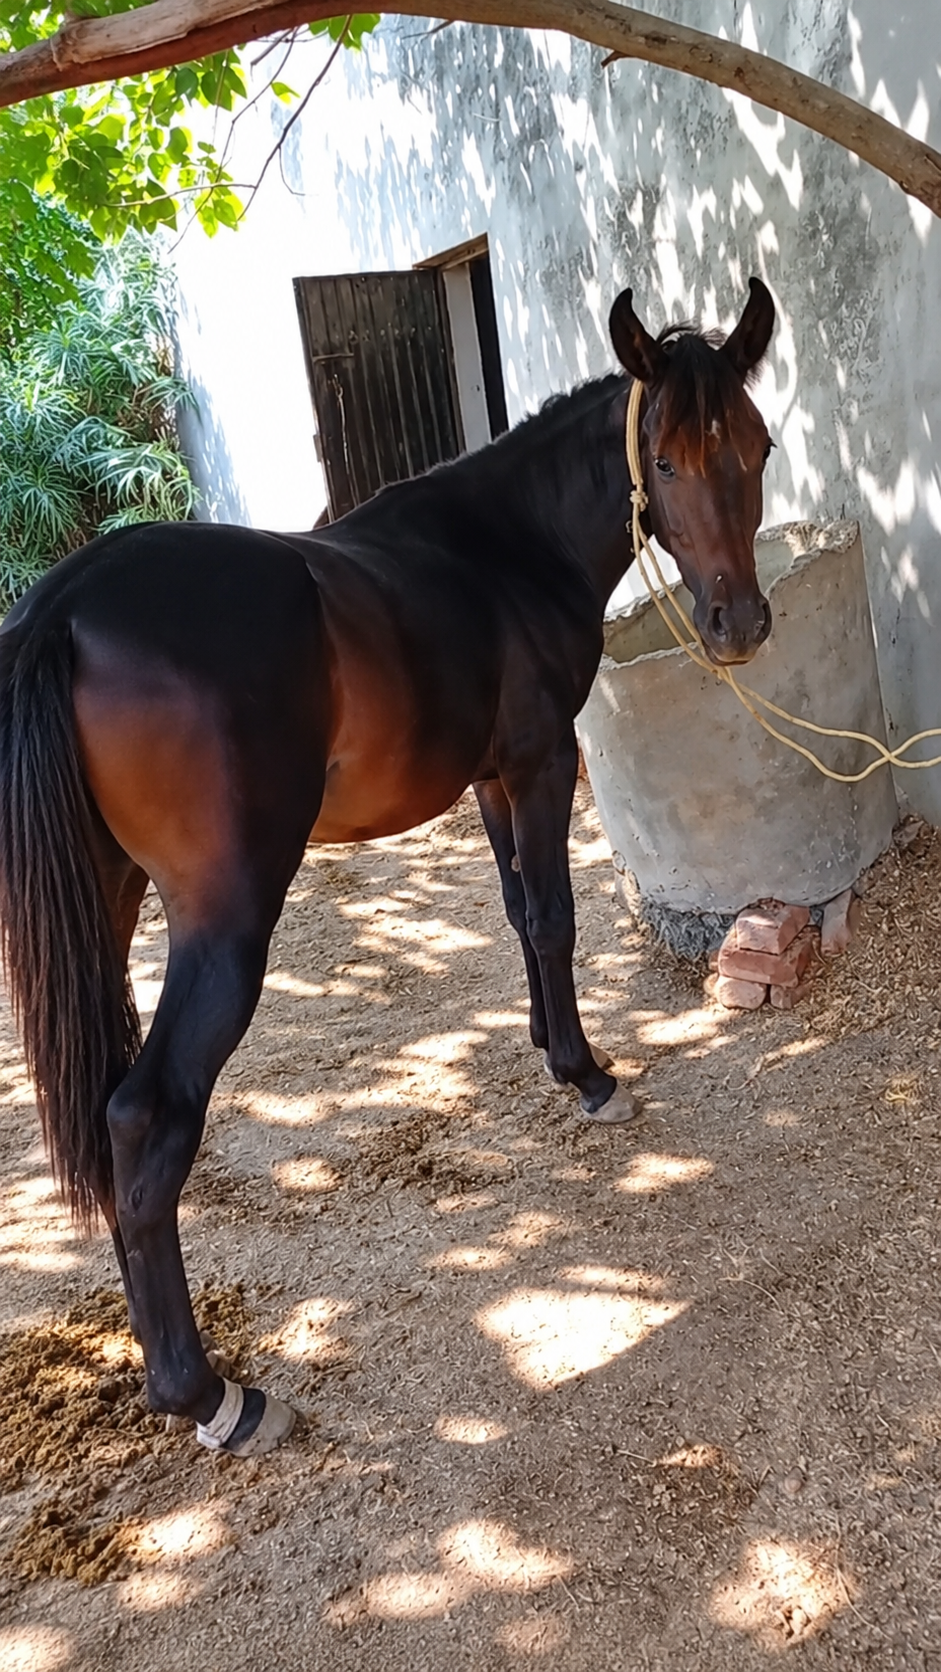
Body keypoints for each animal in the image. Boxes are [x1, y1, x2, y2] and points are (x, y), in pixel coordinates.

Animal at [0, 277, 776, 1457]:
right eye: (667, 458)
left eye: (757, 444)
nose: (736, 624)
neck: (505, 547)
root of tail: (68, 604)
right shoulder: (541, 761)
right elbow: (554, 916)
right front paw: (589, 1075)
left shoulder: (493, 779)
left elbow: (517, 910)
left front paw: (548, 1049)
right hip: (223, 917)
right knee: (144, 1114)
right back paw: (210, 1395)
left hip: (108, 898)